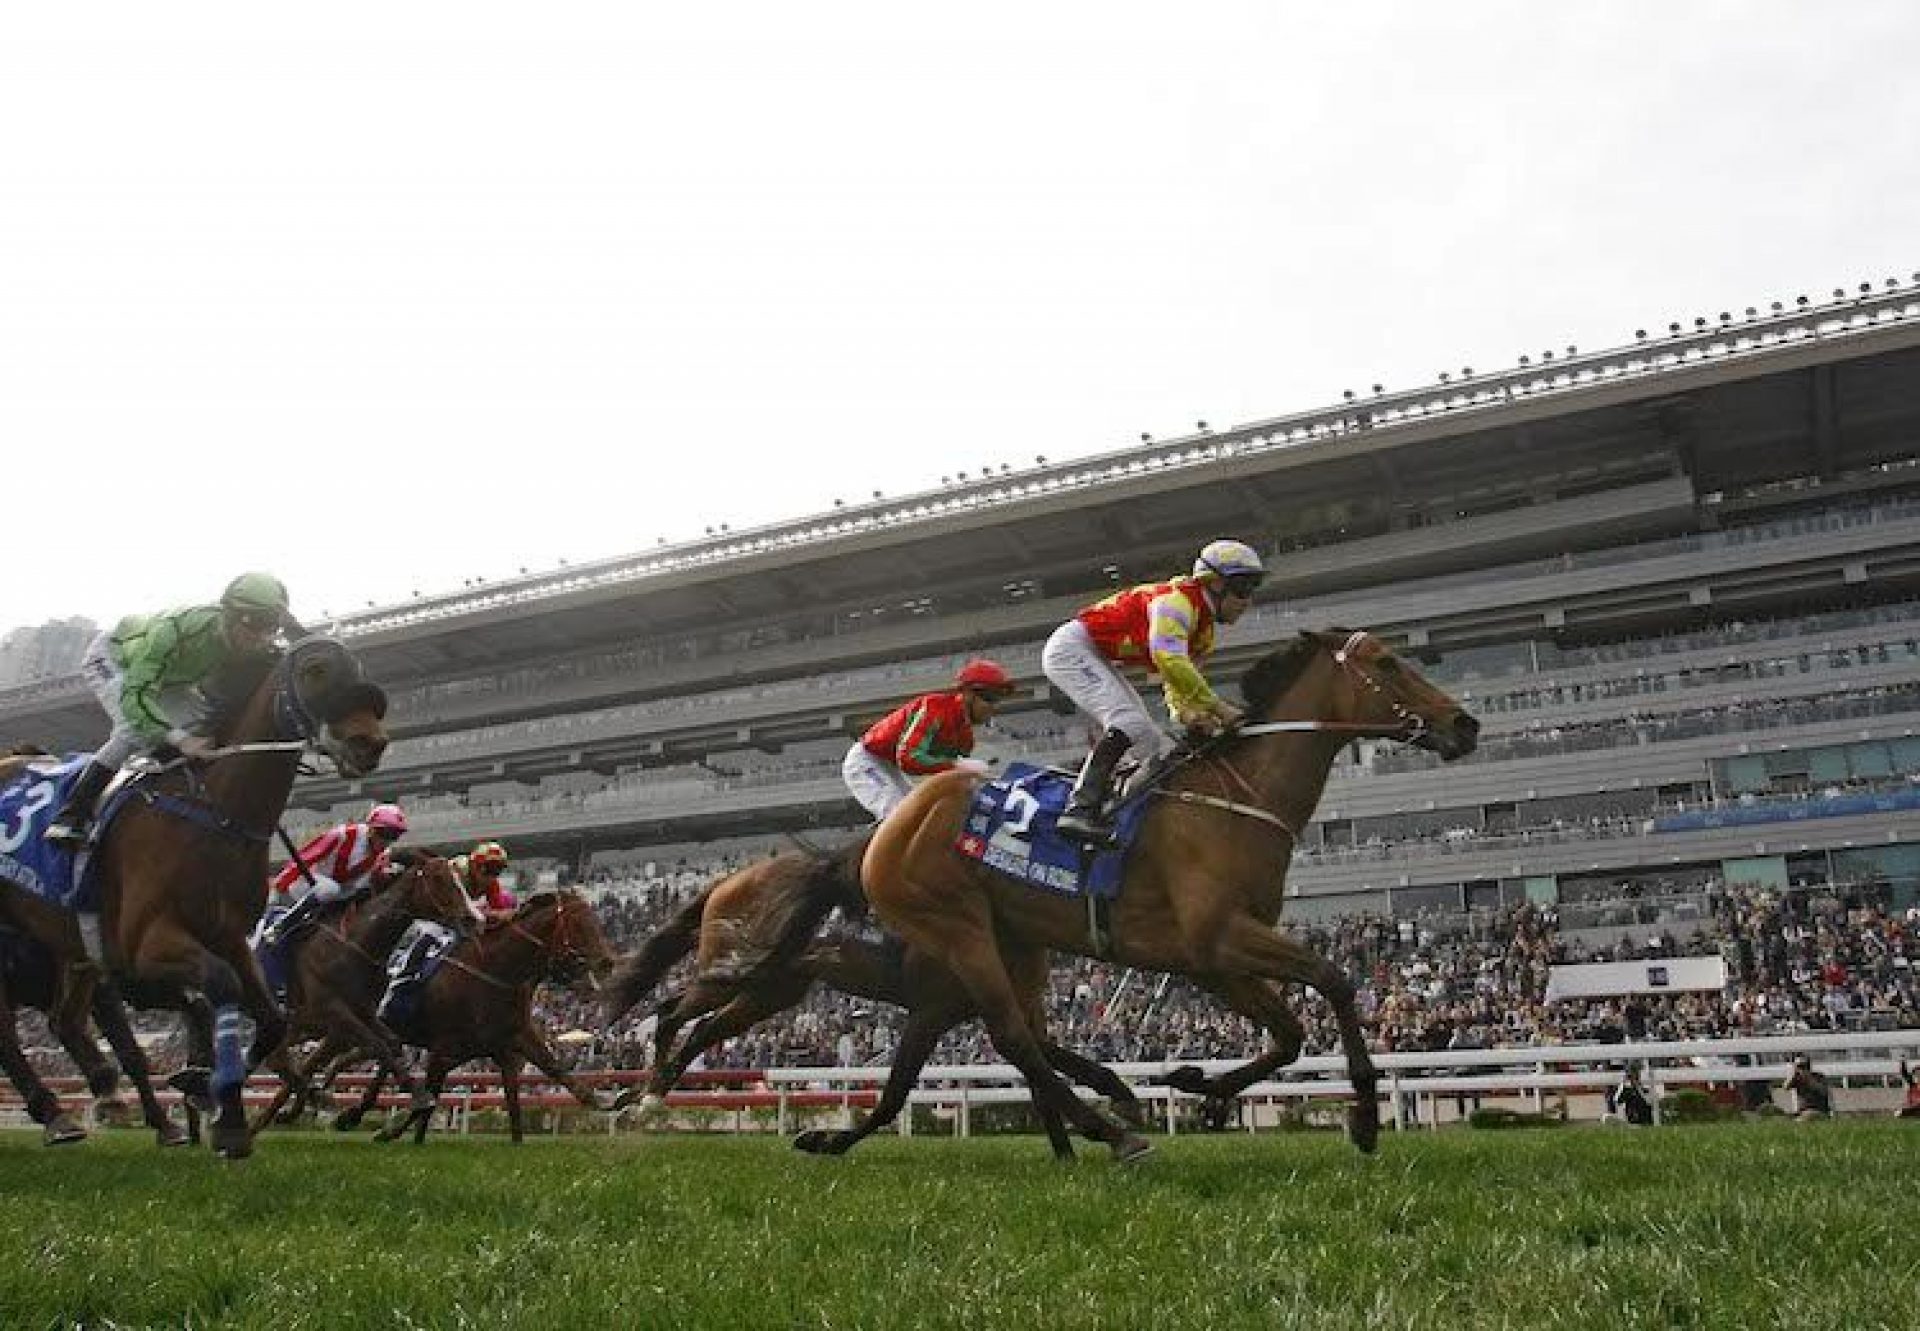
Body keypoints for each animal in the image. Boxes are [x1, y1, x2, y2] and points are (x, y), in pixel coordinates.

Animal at [91, 641, 391, 1152]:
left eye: (361, 667)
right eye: (316, 670)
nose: (370, 743)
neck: (219, 813)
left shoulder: (229, 941)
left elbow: (281, 1031)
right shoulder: (151, 940)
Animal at [243, 852, 468, 1129]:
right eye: (438, 878)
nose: (470, 917)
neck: (355, 946)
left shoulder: (365, 1011)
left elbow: (392, 1043)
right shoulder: (332, 1010)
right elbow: (377, 1045)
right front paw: (418, 1097)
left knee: (275, 1057)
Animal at [326, 887, 618, 1137]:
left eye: (596, 921)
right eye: (579, 923)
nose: (607, 962)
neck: (496, 972)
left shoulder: (511, 1044)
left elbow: (553, 1075)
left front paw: (606, 1100)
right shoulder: (444, 1048)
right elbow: (429, 1100)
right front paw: (391, 1132)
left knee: (378, 1059)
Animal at [860, 629, 1482, 1160]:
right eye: (1386, 663)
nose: (1467, 723)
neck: (1238, 800)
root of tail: (893, 827)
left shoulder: (1208, 960)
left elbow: (1290, 1034)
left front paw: (1200, 1086)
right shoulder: (1222, 936)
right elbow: (1332, 980)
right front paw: (1367, 1116)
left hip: (1016, 939)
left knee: (1028, 1036)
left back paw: (1113, 1100)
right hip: (959, 928)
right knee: (1012, 1037)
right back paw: (1114, 1133)